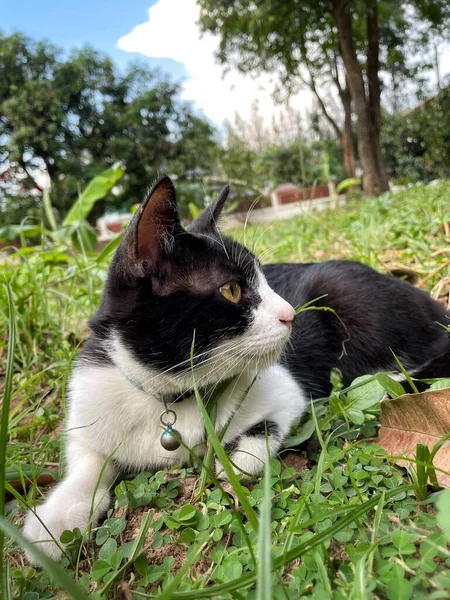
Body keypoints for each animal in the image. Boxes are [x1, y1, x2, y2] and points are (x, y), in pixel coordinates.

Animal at [22, 175, 450, 564]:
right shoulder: (92, 403)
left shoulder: (285, 387)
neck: (170, 392)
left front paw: (234, 459)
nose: (292, 314)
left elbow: (261, 435)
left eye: (266, 280)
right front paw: (56, 521)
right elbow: (88, 461)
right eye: (231, 290)